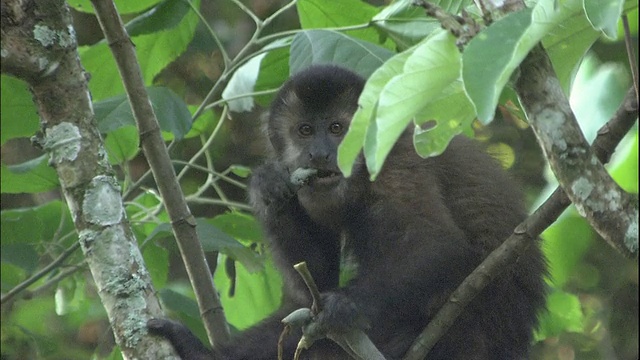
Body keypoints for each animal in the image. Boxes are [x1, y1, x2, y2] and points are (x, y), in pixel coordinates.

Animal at [148, 65, 548, 360]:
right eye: (305, 130)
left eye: (337, 128)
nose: (320, 153)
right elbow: (312, 284)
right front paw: (268, 185)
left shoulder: (395, 161)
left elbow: (437, 243)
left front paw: (344, 306)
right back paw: (199, 354)